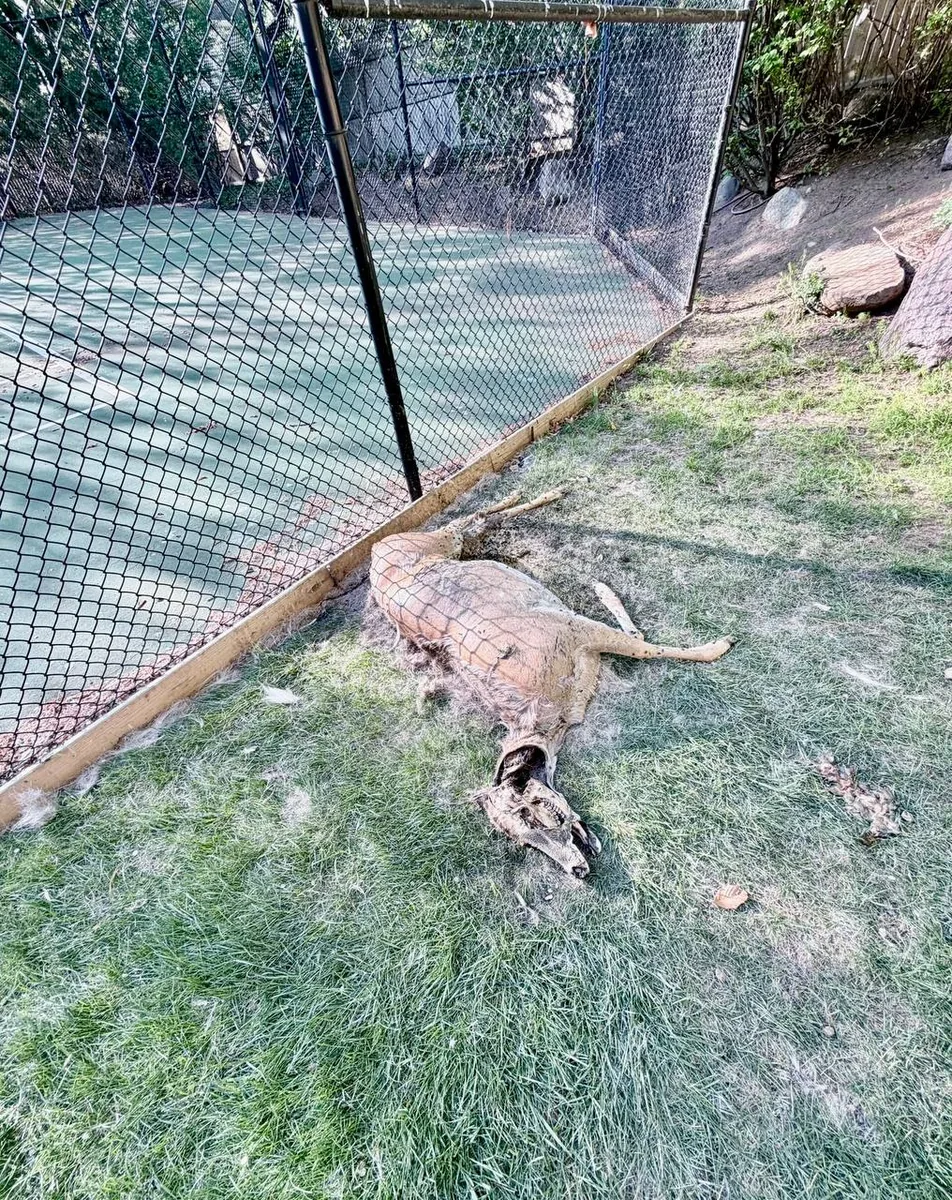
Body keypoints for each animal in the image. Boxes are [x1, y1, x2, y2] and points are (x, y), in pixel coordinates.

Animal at [369, 490, 735, 878]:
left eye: (529, 813)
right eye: (522, 840)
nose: (577, 871)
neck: (548, 713)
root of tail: (375, 550)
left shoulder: (572, 627)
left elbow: (646, 645)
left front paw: (719, 645)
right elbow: (641, 641)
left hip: (435, 543)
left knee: (468, 519)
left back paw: (546, 493)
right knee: (479, 521)